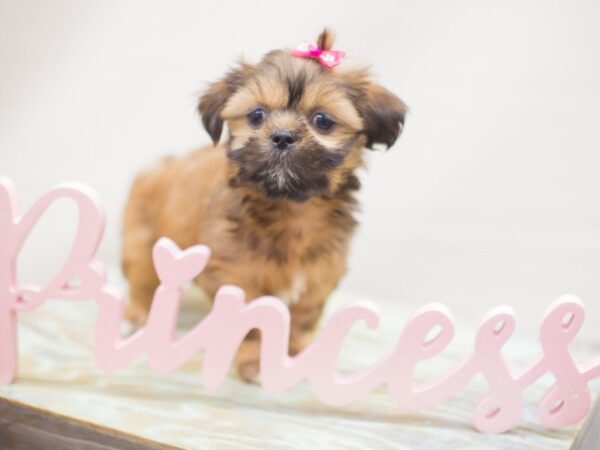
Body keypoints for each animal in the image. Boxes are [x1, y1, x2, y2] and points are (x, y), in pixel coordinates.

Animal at [121, 29, 406, 380]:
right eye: (257, 115)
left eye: (323, 120)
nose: (282, 136)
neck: (292, 207)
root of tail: (160, 165)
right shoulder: (239, 279)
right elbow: (255, 326)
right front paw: (256, 361)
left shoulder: (318, 276)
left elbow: (302, 318)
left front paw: (297, 352)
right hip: (142, 241)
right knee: (142, 281)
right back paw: (135, 316)